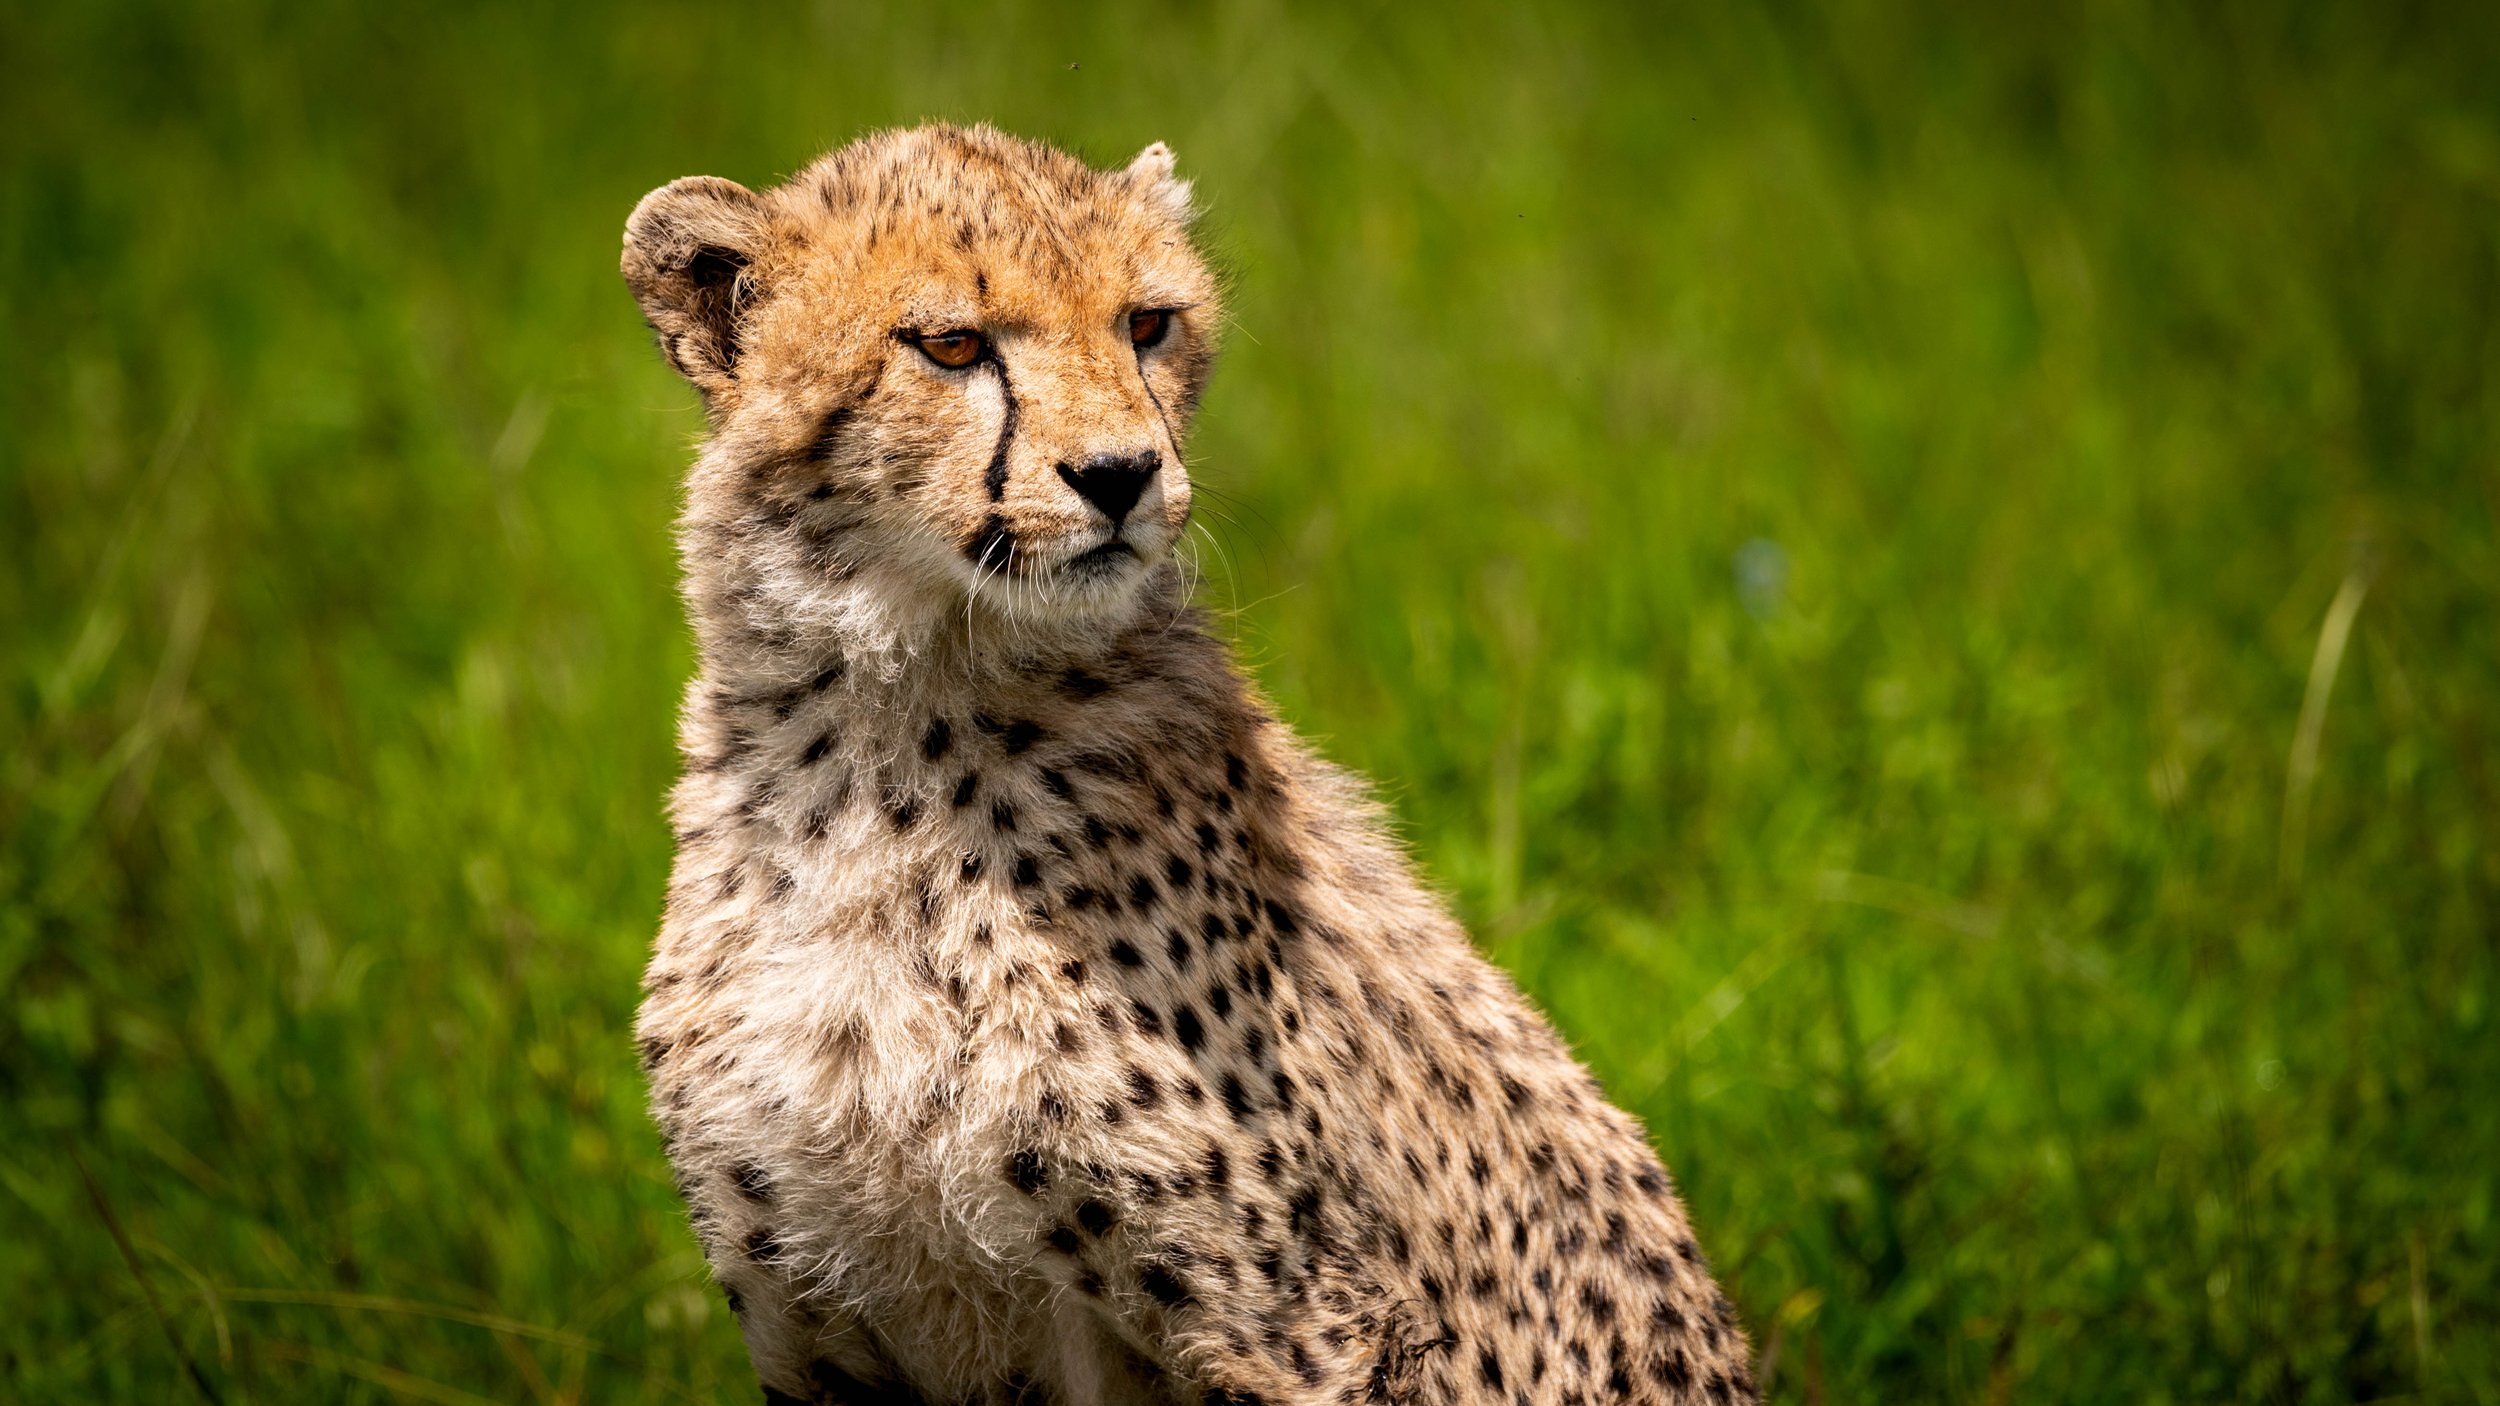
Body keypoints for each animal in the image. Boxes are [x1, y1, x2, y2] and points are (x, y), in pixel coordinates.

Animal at [623, 122, 1758, 1406]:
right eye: (951, 343)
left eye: (1146, 323)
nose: (1120, 473)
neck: (885, 747)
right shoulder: (820, 1326)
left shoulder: (1292, 1326)